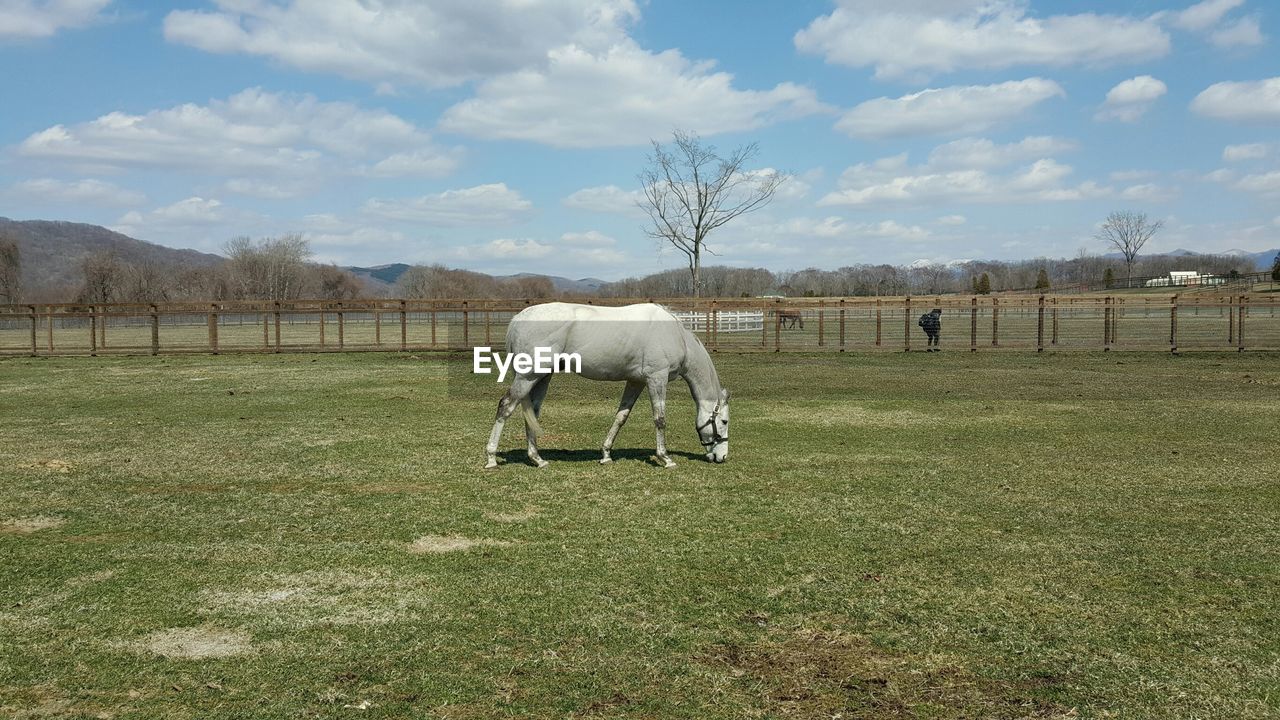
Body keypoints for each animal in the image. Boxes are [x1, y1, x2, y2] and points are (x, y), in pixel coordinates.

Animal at [483, 301, 732, 466]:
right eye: (725, 421)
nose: (721, 457)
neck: (676, 335)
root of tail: (519, 317)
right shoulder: (657, 379)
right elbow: (660, 419)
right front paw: (665, 458)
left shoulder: (636, 381)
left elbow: (621, 417)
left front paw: (606, 454)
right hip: (528, 376)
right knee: (506, 406)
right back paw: (491, 457)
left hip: (542, 377)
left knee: (532, 412)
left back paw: (537, 458)